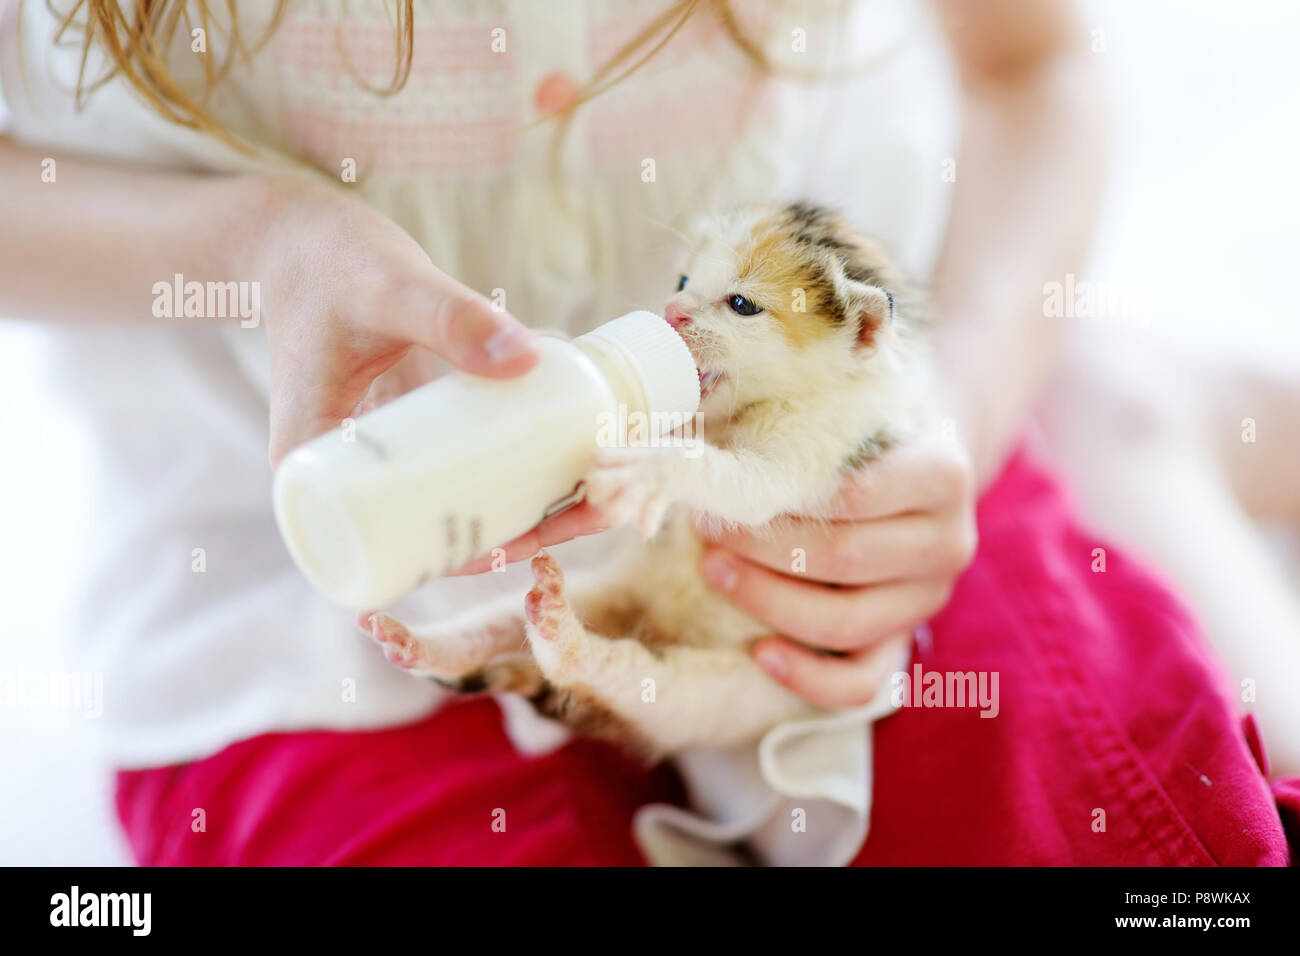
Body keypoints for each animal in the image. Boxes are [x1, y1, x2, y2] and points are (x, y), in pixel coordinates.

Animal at [364, 201, 935, 764]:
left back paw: (561, 633)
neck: (743, 413)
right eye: (683, 278)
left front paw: (648, 468)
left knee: (611, 673)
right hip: (609, 592)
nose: (671, 311)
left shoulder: (813, 452)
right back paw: (420, 643)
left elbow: (737, 479)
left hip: (714, 696)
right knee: (495, 623)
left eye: (742, 304)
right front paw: (561, 349)